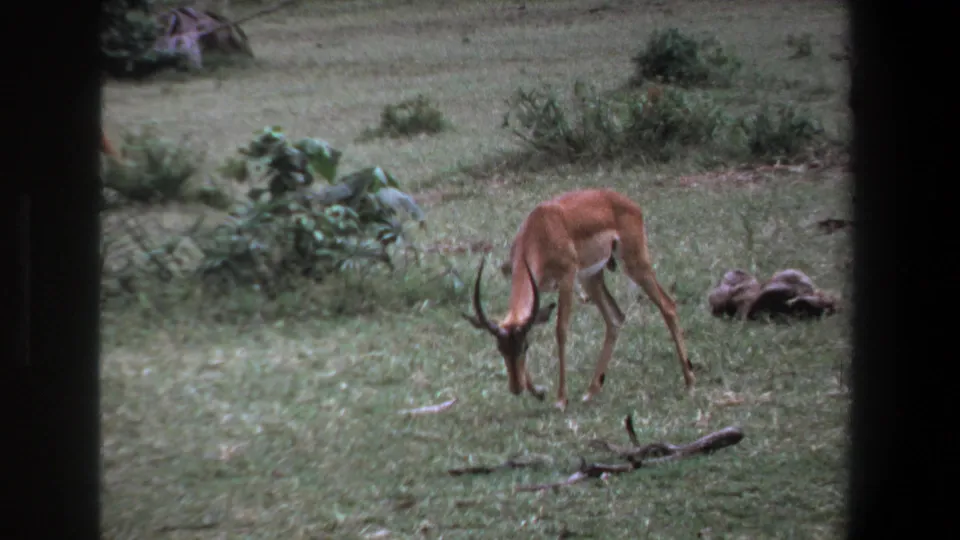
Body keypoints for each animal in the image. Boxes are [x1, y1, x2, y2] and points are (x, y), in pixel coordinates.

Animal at [462, 188, 695, 410]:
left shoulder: (567, 279)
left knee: (668, 305)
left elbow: (561, 331)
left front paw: (561, 399)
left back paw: (690, 380)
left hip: (634, 264)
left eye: (525, 347)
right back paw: (591, 391)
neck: (540, 229)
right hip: (591, 278)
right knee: (615, 318)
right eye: (501, 348)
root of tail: (629, 203)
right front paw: (539, 392)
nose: (516, 388)